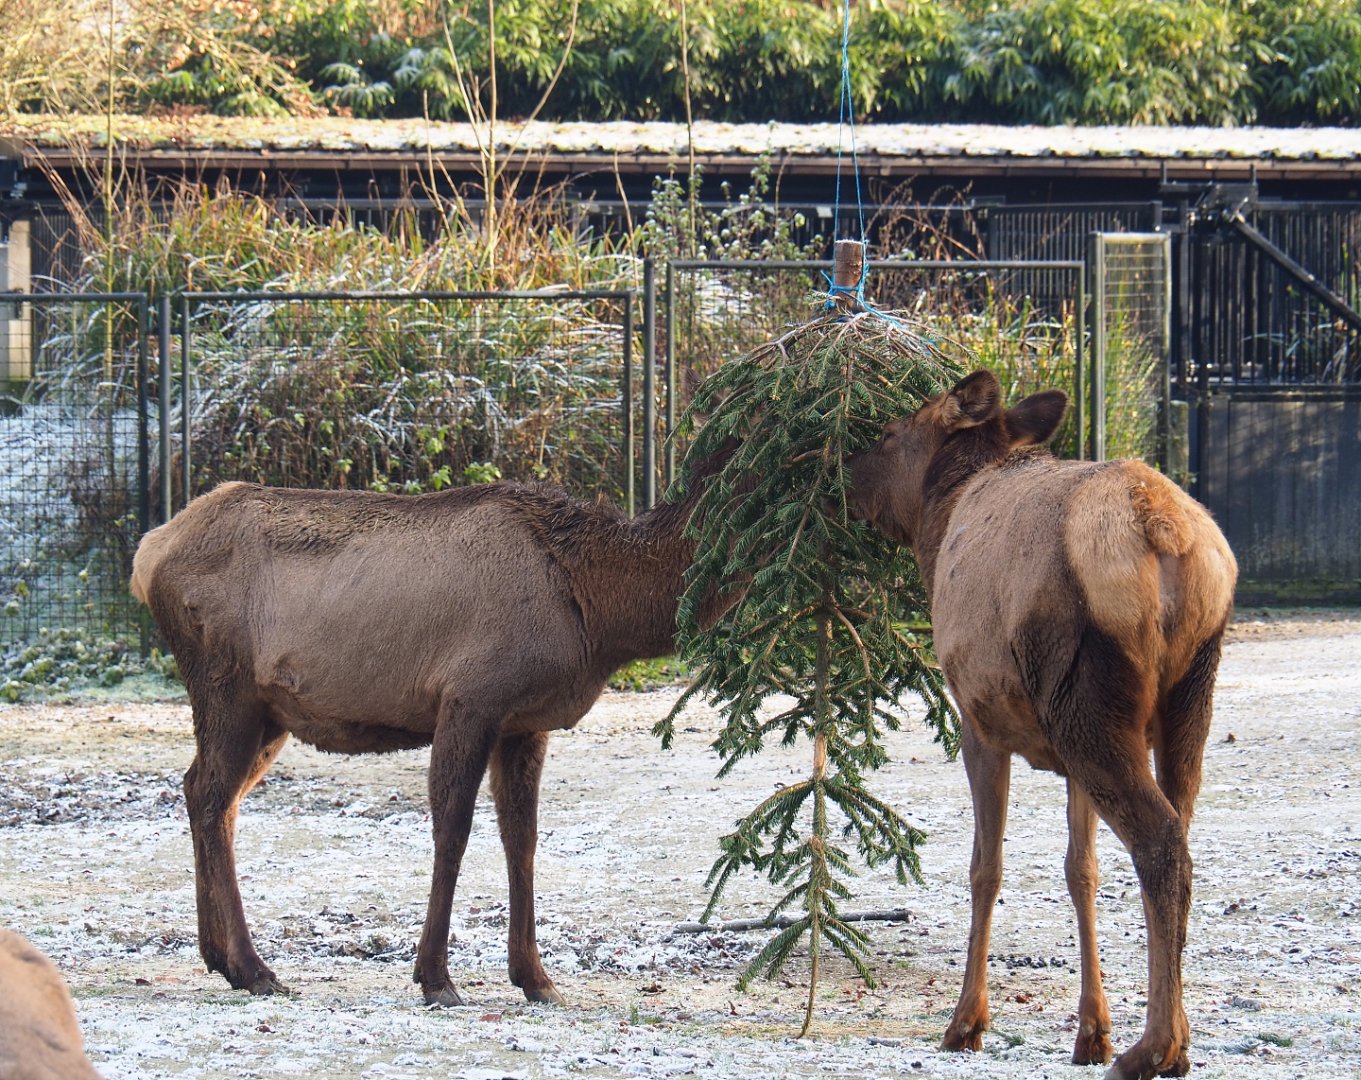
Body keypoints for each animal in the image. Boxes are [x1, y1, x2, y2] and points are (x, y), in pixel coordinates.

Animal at [130, 467, 727, 1009]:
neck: (600, 608)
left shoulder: (525, 722)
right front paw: (436, 978)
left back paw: (218, 957)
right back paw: (255, 969)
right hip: (225, 687)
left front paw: (535, 977)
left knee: (204, 791)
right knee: (211, 794)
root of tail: (146, 554)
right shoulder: (469, 700)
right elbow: (453, 830)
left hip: (268, 714)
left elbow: (522, 838)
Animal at [848, 370, 1237, 1080]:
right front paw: (1091, 1031)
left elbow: (986, 866)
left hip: (1090, 706)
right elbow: (1081, 870)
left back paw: (1155, 1048)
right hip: (1183, 699)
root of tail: (1165, 536)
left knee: (1161, 840)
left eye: (889, 433)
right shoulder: (1065, 750)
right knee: (1182, 835)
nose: (844, 472)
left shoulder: (978, 719)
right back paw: (1177, 1039)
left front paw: (966, 1022)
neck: (937, 529)